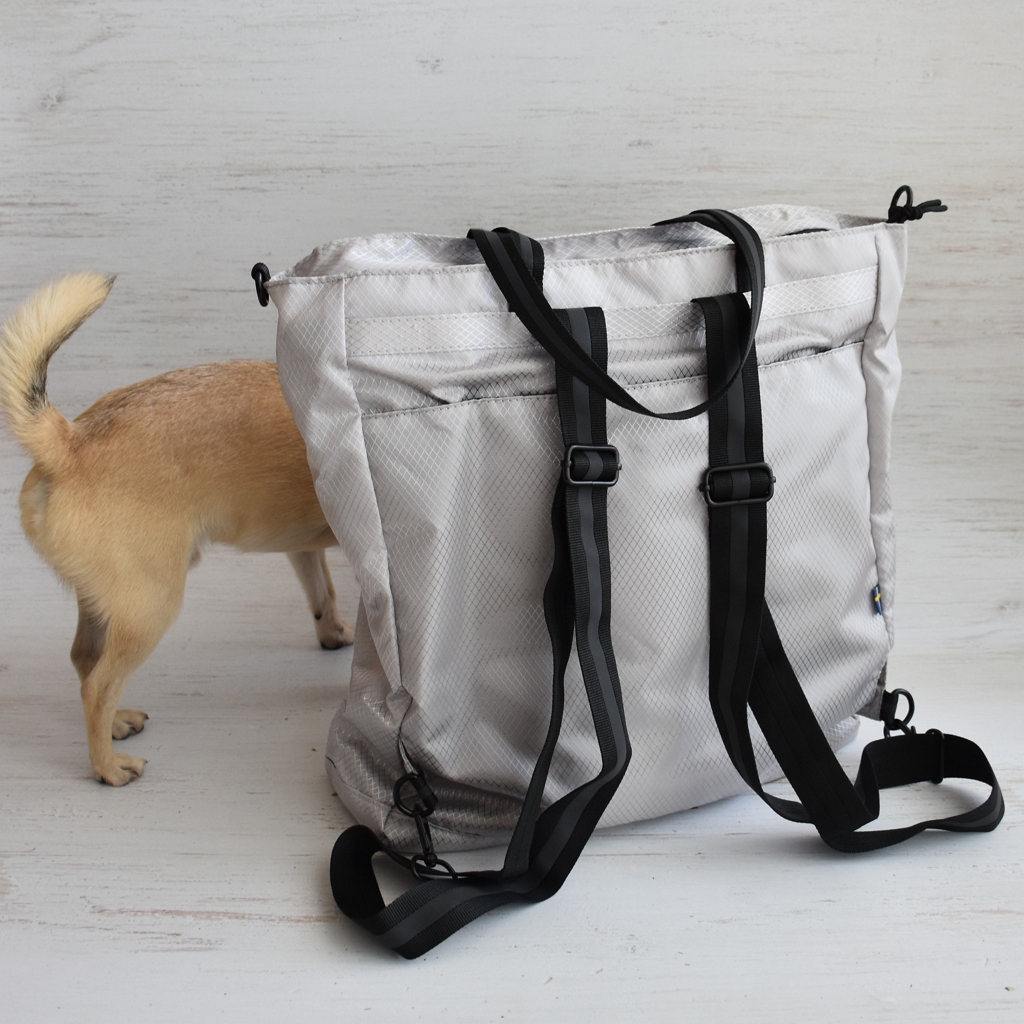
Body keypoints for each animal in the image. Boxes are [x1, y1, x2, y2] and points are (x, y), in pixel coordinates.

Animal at [0, 273, 354, 786]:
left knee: (85, 660)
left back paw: (116, 726)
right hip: (152, 606)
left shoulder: (304, 549)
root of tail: (69, 442)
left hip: (107, 603)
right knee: (97, 686)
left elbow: (322, 594)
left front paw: (334, 634)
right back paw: (108, 767)